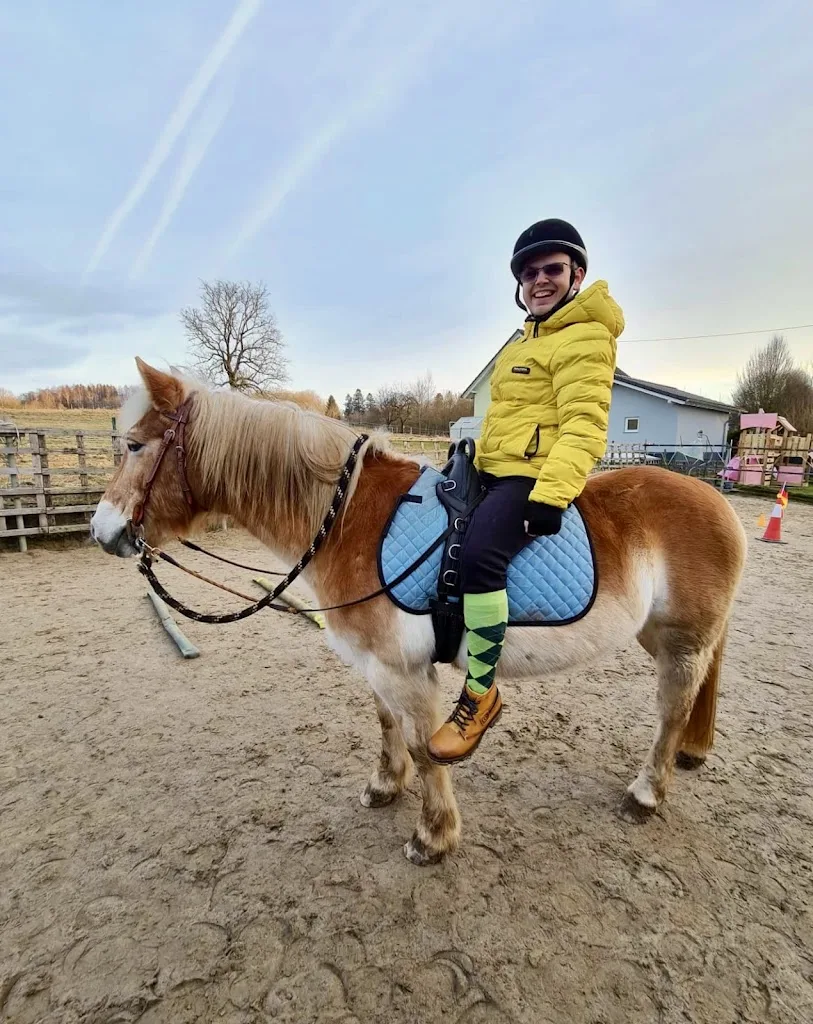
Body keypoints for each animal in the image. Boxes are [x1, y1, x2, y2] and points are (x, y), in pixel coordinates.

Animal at [90, 359, 747, 866]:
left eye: (134, 445)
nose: (102, 532)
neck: (350, 519)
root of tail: (714, 497)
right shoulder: (376, 664)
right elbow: (386, 725)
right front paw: (386, 785)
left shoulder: (408, 671)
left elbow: (427, 744)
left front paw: (433, 836)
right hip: (655, 634)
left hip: (682, 642)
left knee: (672, 708)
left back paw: (646, 793)